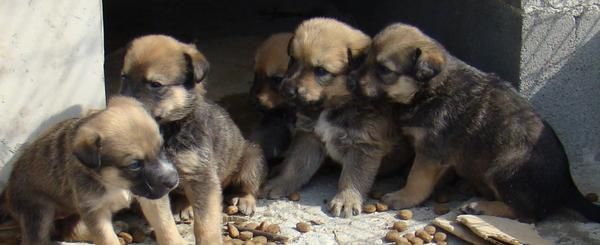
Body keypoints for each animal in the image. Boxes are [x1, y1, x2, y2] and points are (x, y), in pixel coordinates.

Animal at [3, 96, 182, 245]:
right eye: (134, 165)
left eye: (161, 148)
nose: (173, 181)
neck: (114, 183)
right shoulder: (94, 210)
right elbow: (106, 239)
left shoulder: (152, 197)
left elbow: (165, 225)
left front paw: (177, 241)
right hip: (38, 212)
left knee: (70, 231)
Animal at [120, 35, 266, 244]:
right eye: (124, 77)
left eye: (155, 84)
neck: (166, 133)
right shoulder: (151, 184)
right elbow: (163, 224)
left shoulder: (202, 178)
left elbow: (206, 223)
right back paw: (184, 206)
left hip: (252, 156)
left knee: (250, 185)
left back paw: (245, 199)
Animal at [262, 17, 412, 217]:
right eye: (293, 60)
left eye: (321, 71)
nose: (287, 91)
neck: (333, 105)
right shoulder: (308, 137)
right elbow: (295, 165)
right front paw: (280, 182)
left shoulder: (363, 145)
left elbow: (352, 177)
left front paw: (346, 199)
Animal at [354, 23, 596, 222]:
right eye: (366, 58)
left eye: (385, 70)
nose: (353, 83)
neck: (430, 90)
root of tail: (567, 185)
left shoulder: (431, 151)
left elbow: (417, 178)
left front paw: (403, 197)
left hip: (504, 167)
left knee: (526, 213)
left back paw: (481, 206)